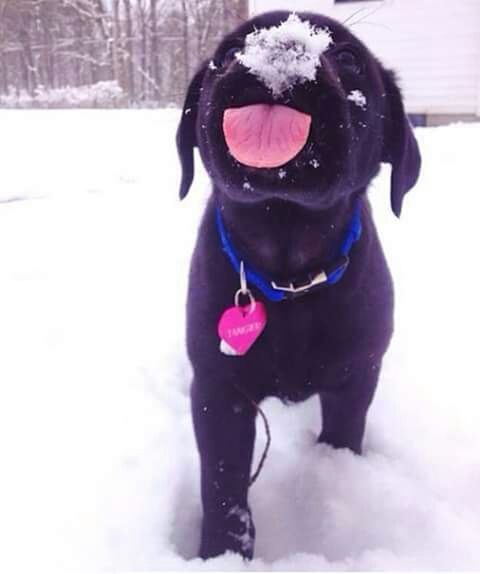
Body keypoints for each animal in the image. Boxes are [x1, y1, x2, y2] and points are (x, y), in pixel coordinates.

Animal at [175, 10, 420, 564]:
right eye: (228, 52)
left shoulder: (356, 378)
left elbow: (343, 436)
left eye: (348, 57)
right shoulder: (219, 389)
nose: (282, 43)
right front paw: (221, 553)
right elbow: (222, 482)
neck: (288, 276)